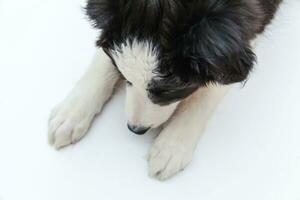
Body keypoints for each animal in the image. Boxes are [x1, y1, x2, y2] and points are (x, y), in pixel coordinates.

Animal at [48, 0, 282, 180]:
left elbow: (211, 88)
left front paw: (172, 145)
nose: (135, 129)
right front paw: (72, 113)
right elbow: (104, 55)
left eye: (169, 91)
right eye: (125, 77)